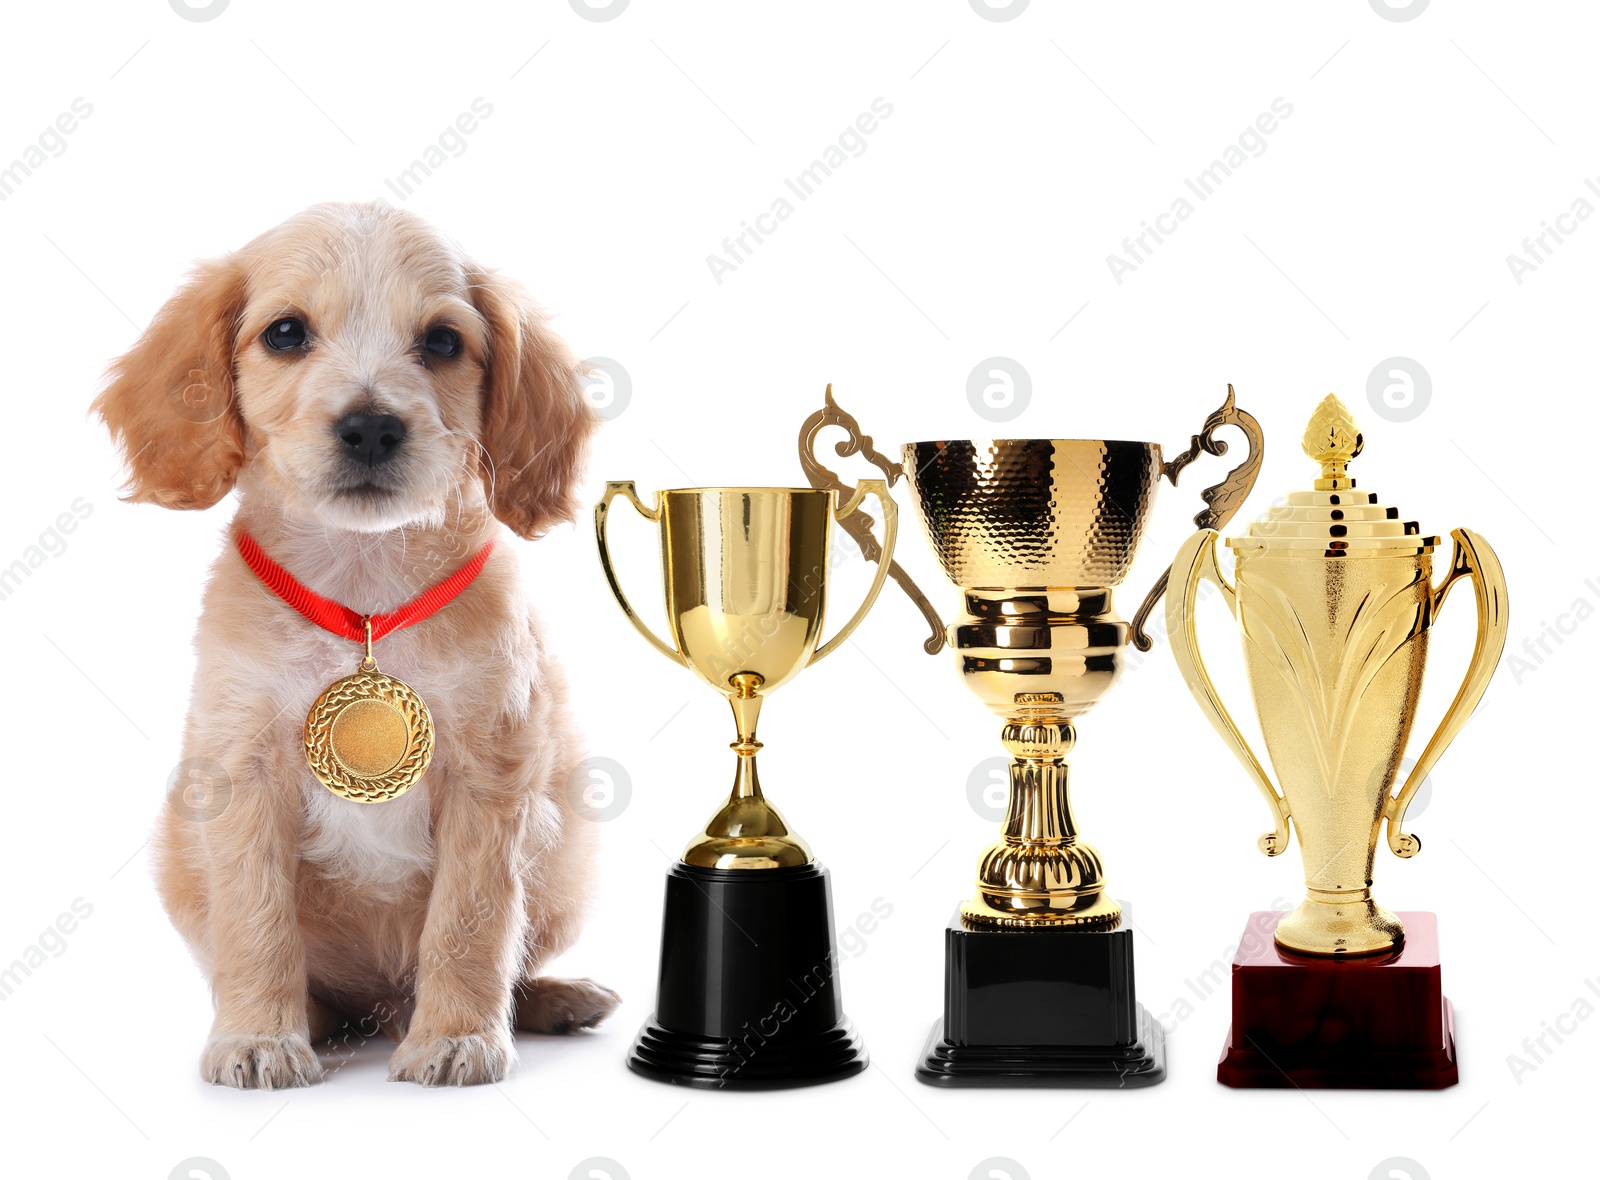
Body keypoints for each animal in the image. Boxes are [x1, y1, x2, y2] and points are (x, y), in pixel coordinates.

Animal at [92, 199, 617, 1087]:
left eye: (442, 342)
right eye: (285, 333)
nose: (371, 427)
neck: (365, 597)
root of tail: (381, 1007)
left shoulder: (493, 776)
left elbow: (471, 922)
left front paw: (457, 1037)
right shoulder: (242, 774)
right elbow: (257, 921)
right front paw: (260, 1037)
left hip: (568, 859)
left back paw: (548, 998)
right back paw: (312, 1020)